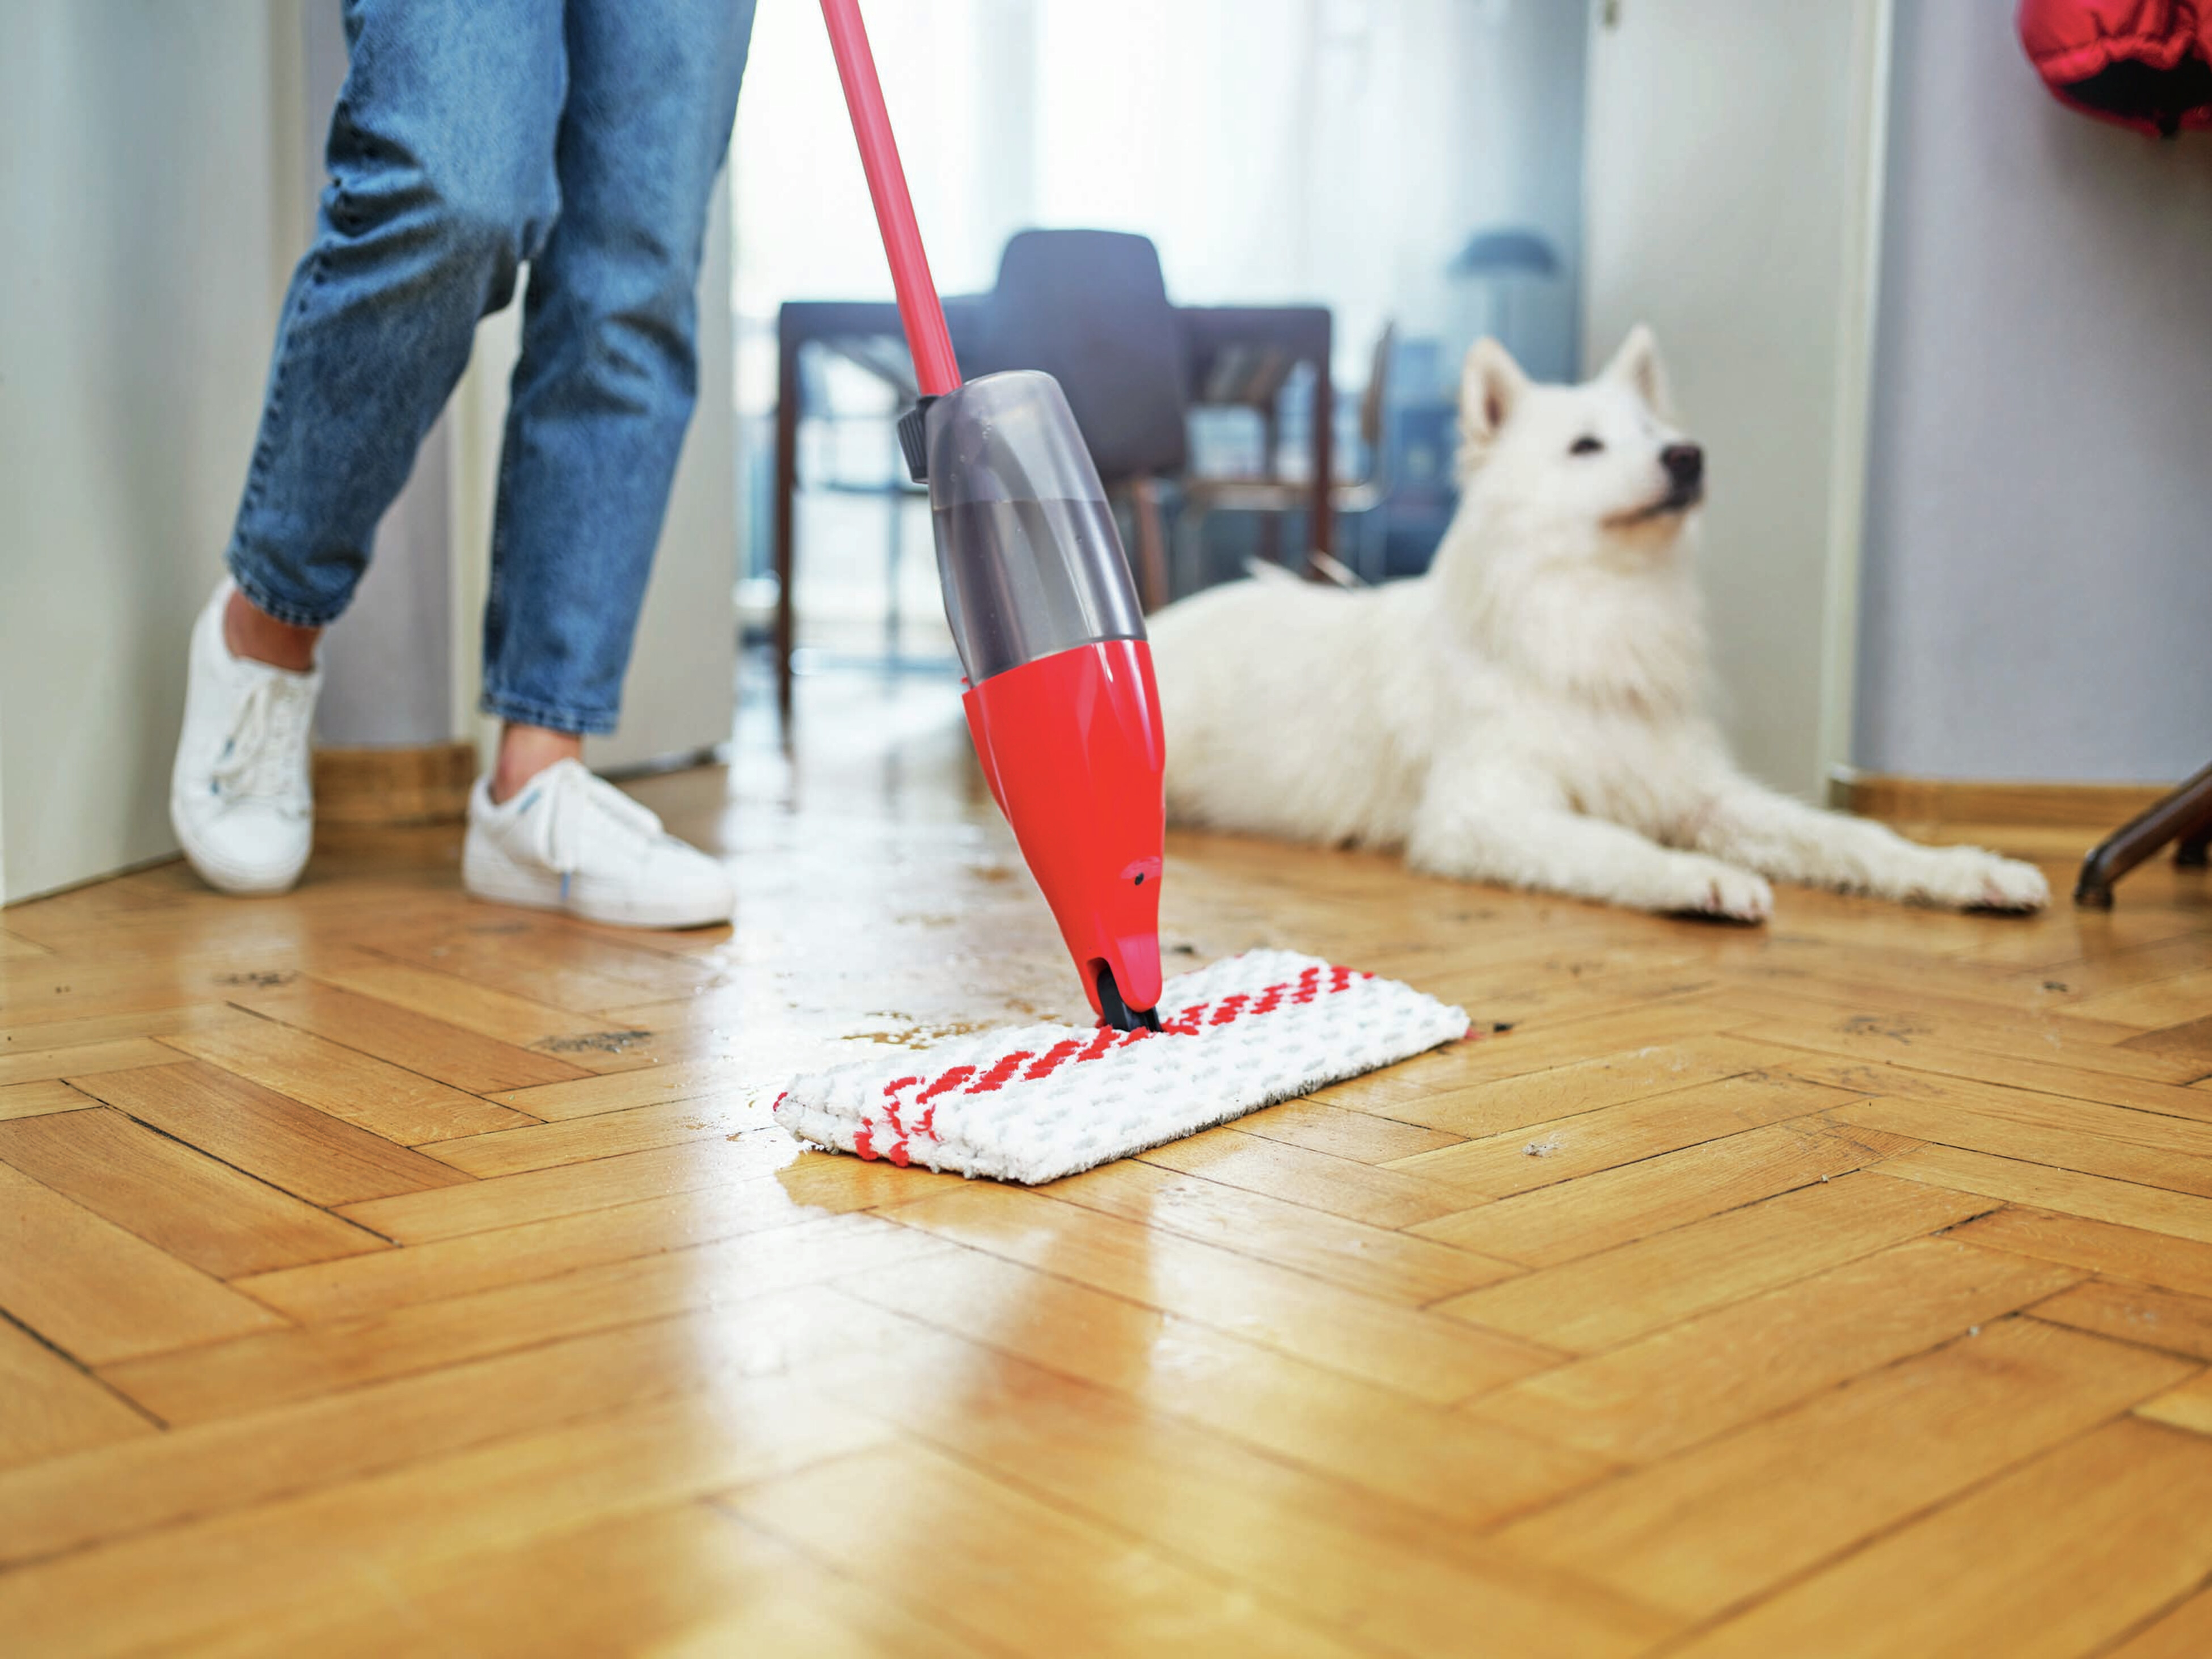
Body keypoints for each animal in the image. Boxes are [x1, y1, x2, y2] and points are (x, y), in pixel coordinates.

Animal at [1150, 325, 2044, 925]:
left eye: (1658, 435)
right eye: (1586, 447)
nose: (1689, 455)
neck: (1599, 613)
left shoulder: (1703, 794)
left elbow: (1851, 836)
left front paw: (1964, 869)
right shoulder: (1483, 814)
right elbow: (1618, 846)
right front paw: (1696, 880)